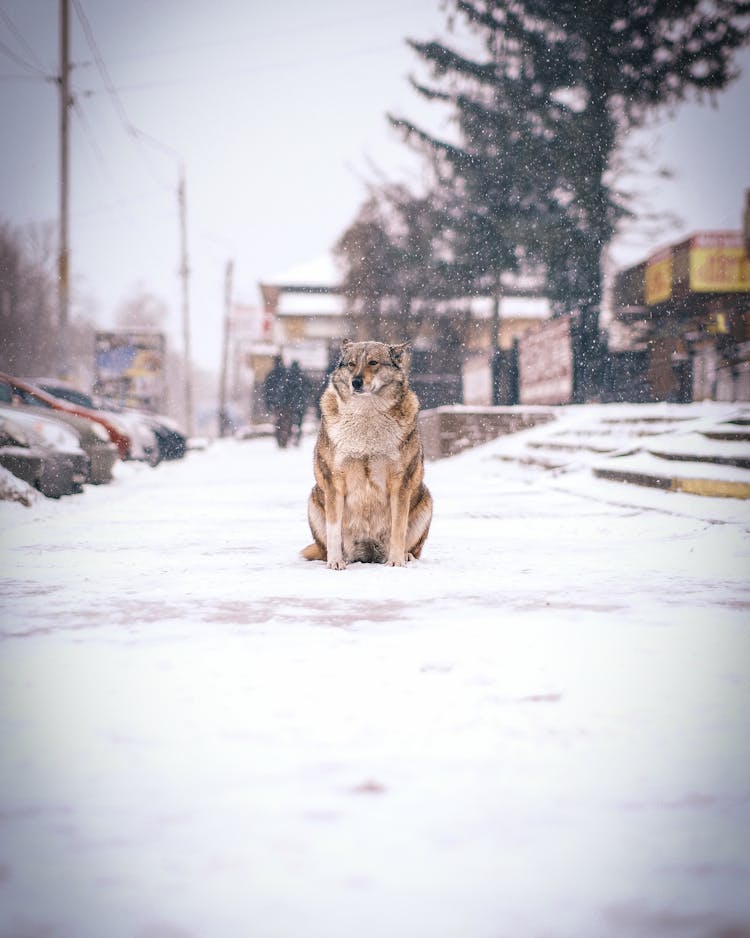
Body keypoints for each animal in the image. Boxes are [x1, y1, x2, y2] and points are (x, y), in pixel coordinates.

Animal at [302, 338, 434, 568]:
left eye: (373, 362)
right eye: (351, 364)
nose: (356, 382)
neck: (366, 413)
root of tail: (368, 554)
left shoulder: (400, 482)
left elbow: (399, 528)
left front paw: (396, 562)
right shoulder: (333, 480)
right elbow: (333, 530)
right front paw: (335, 563)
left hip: (426, 500)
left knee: (414, 548)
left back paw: (405, 556)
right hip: (314, 501)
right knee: (326, 546)